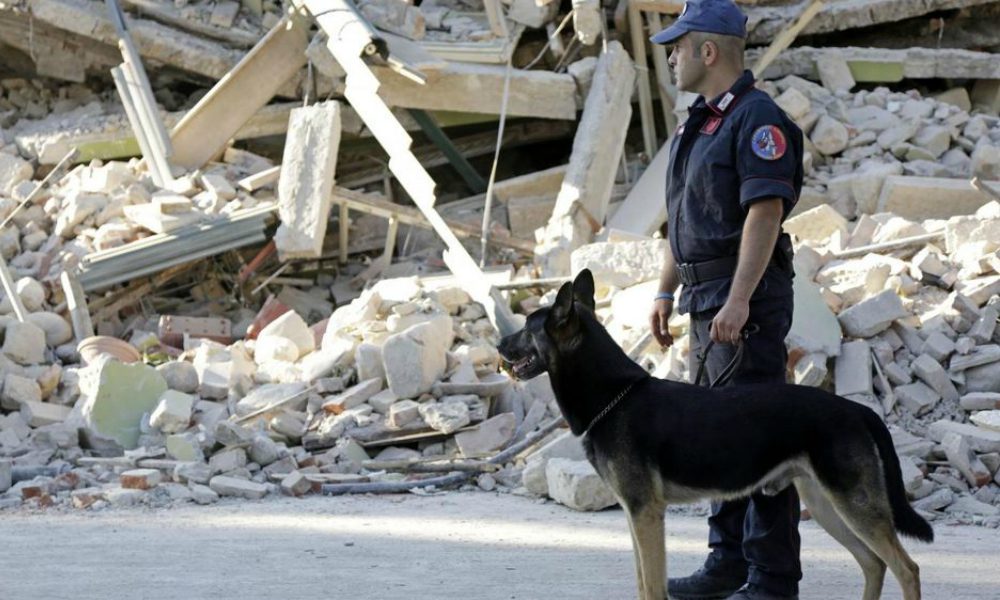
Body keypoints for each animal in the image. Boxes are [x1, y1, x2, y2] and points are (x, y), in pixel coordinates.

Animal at [504, 270, 932, 600]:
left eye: (526, 329)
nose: (498, 344)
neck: (614, 395)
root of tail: (858, 410)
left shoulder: (646, 515)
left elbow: (653, 587)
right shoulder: (634, 515)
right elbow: (643, 582)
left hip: (854, 505)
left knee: (907, 568)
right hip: (828, 504)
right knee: (874, 563)